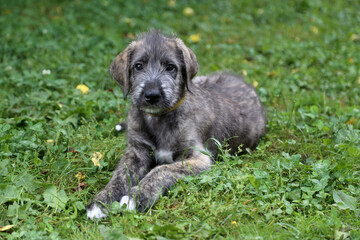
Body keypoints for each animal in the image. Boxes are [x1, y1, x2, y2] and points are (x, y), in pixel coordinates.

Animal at [86, 30, 266, 219]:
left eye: (170, 67)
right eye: (138, 66)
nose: (152, 95)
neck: (159, 118)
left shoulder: (198, 158)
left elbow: (162, 169)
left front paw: (138, 196)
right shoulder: (137, 151)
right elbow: (121, 174)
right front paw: (102, 199)